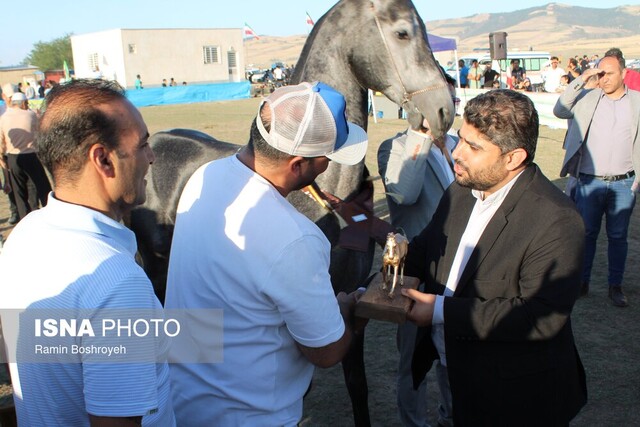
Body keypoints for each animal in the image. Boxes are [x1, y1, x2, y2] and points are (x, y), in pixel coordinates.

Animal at [129, 0, 456, 424]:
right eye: (402, 33)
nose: (444, 108)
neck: (321, 194)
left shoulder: (349, 306)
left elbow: (357, 386)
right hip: (155, 270)